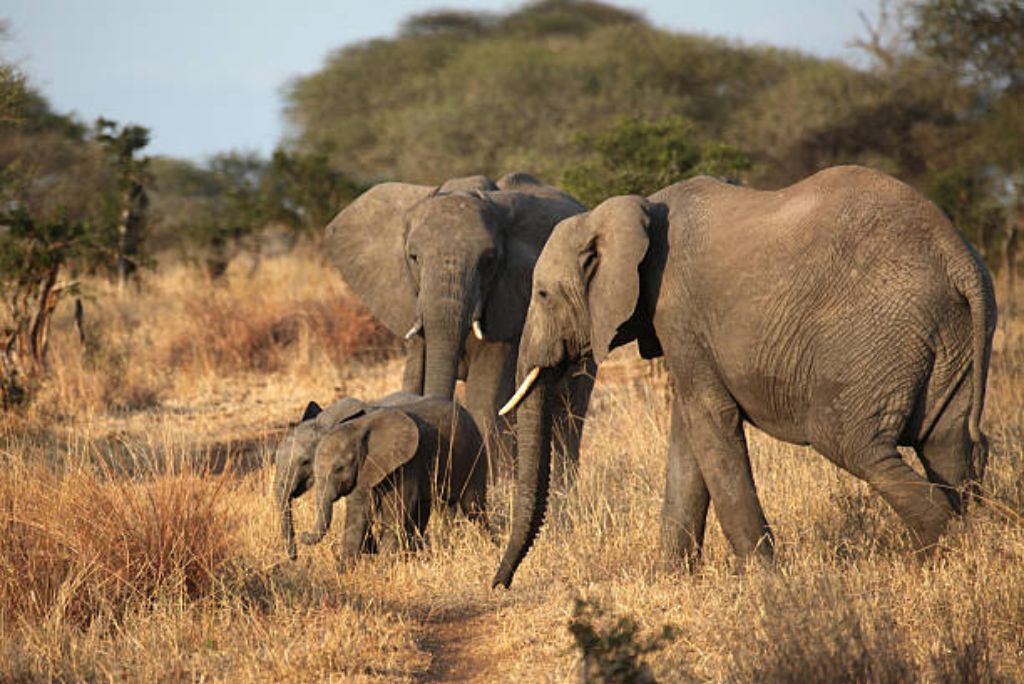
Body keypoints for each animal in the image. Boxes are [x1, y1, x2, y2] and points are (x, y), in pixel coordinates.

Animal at [274, 393, 489, 565]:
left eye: (305, 461)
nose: (295, 556)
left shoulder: (404, 463)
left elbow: (391, 510)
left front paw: (380, 565)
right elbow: (360, 509)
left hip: (474, 452)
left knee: (472, 506)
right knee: (434, 508)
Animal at [327, 171, 598, 471]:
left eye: (489, 260)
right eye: (413, 257)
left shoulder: (507, 302)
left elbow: (485, 394)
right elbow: (413, 378)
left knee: (569, 414)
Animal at [491, 163, 995, 589]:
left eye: (542, 294)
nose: (500, 584)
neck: (633, 210)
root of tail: (958, 255)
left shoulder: (676, 307)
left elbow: (709, 421)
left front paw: (764, 578)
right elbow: (689, 432)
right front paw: (672, 577)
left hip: (880, 331)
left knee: (850, 440)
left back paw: (941, 553)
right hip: (946, 333)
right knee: (945, 445)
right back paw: (969, 549)